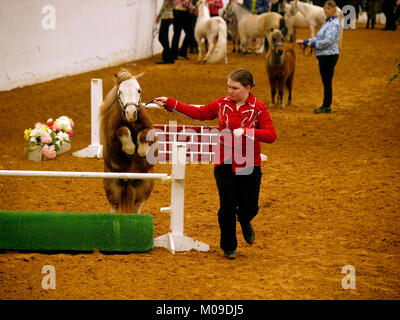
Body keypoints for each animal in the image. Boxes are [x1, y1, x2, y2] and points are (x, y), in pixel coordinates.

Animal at [99, 69, 159, 214]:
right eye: (120, 91)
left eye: (139, 90)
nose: (131, 113)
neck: (131, 122)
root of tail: (129, 181)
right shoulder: (112, 139)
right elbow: (123, 130)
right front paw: (130, 148)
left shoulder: (150, 131)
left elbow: (143, 134)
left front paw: (142, 151)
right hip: (113, 189)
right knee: (114, 208)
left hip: (144, 187)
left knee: (137, 207)